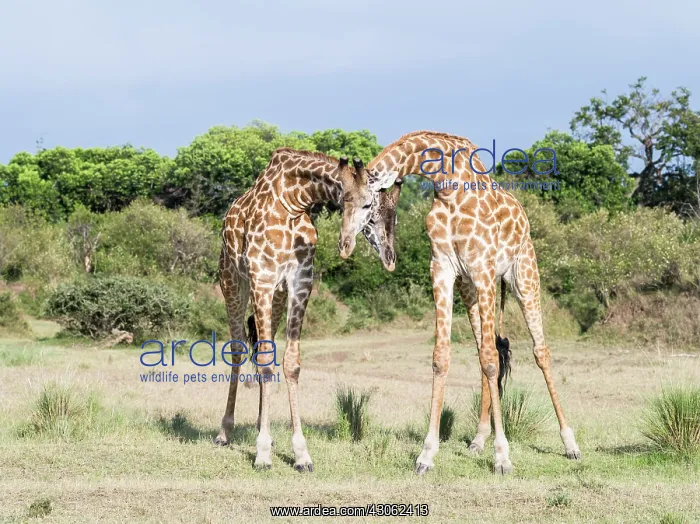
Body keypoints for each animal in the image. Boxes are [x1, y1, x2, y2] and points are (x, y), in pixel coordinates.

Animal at [213, 148, 397, 471]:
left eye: (393, 217)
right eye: (368, 208)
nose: (345, 244)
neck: (293, 201)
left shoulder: (299, 282)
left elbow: (290, 363)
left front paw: (300, 454)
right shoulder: (262, 278)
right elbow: (264, 361)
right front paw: (262, 454)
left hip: (275, 296)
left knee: (263, 348)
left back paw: (263, 431)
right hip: (233, 283)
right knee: (237, 349)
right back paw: (225, 432)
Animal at [366, 131, 581, 474]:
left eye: (379, 215)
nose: (388, 259)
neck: (446, 186)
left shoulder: (483, 268)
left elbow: (493, 360)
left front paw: (503, 457)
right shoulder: (442, 269)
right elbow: (444, 357)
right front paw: (426, 455)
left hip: (523, 277)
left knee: (540, 352)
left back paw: (570, 444)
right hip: (470, 288)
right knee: (484, 350)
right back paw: (478, 440)